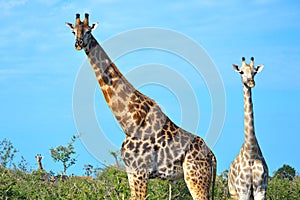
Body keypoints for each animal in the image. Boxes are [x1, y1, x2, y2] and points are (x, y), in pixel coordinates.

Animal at [66, 13, 216, 199]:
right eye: (73, 31)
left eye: (88, 31)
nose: (78, 44)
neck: (127, 121)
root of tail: (211, 156)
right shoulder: (131, 172)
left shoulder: (140, 172)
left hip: (196, 177)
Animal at [229, 57, 268, 199]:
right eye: (241, 72)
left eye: (254, 72)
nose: (251, 82)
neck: (251, 153)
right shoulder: (243, 190)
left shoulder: (260, 189)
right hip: (233, 192)